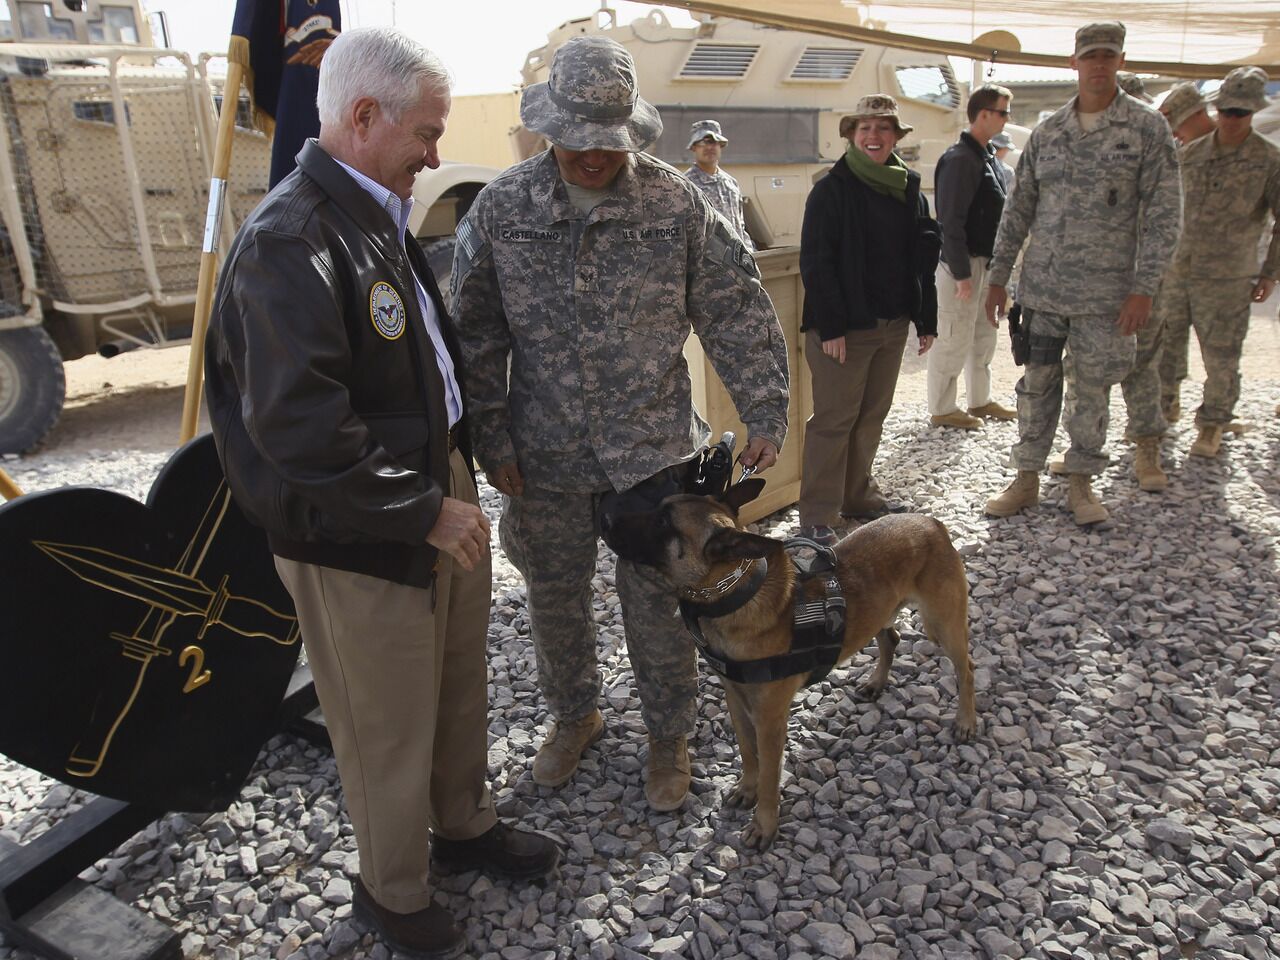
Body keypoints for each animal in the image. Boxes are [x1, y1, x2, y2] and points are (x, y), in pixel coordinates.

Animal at [604, 481, 972, 849]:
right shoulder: (737, 700)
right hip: (882, 612)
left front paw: (764, 824)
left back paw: (966, 721)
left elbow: (770, 775)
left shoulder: (770, 721)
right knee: (891, 638)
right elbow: (747, 752)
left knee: (966, 668)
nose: (606, 516)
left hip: (941, 626)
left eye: (664, 522)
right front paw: (747, 788)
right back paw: (877, 682)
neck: (735, 595)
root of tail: (930, 522)